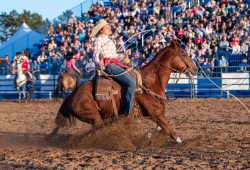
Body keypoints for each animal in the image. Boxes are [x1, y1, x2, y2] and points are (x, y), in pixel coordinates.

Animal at [48, 40, 197, 143]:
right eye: (183, 54)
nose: (195, 68)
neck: (149, 82)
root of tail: (72, 96)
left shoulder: (155, 115)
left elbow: (160, 130)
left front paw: (148, 135)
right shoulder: (157, 113)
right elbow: (170, 131)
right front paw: (183, 143)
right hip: (94, 117)